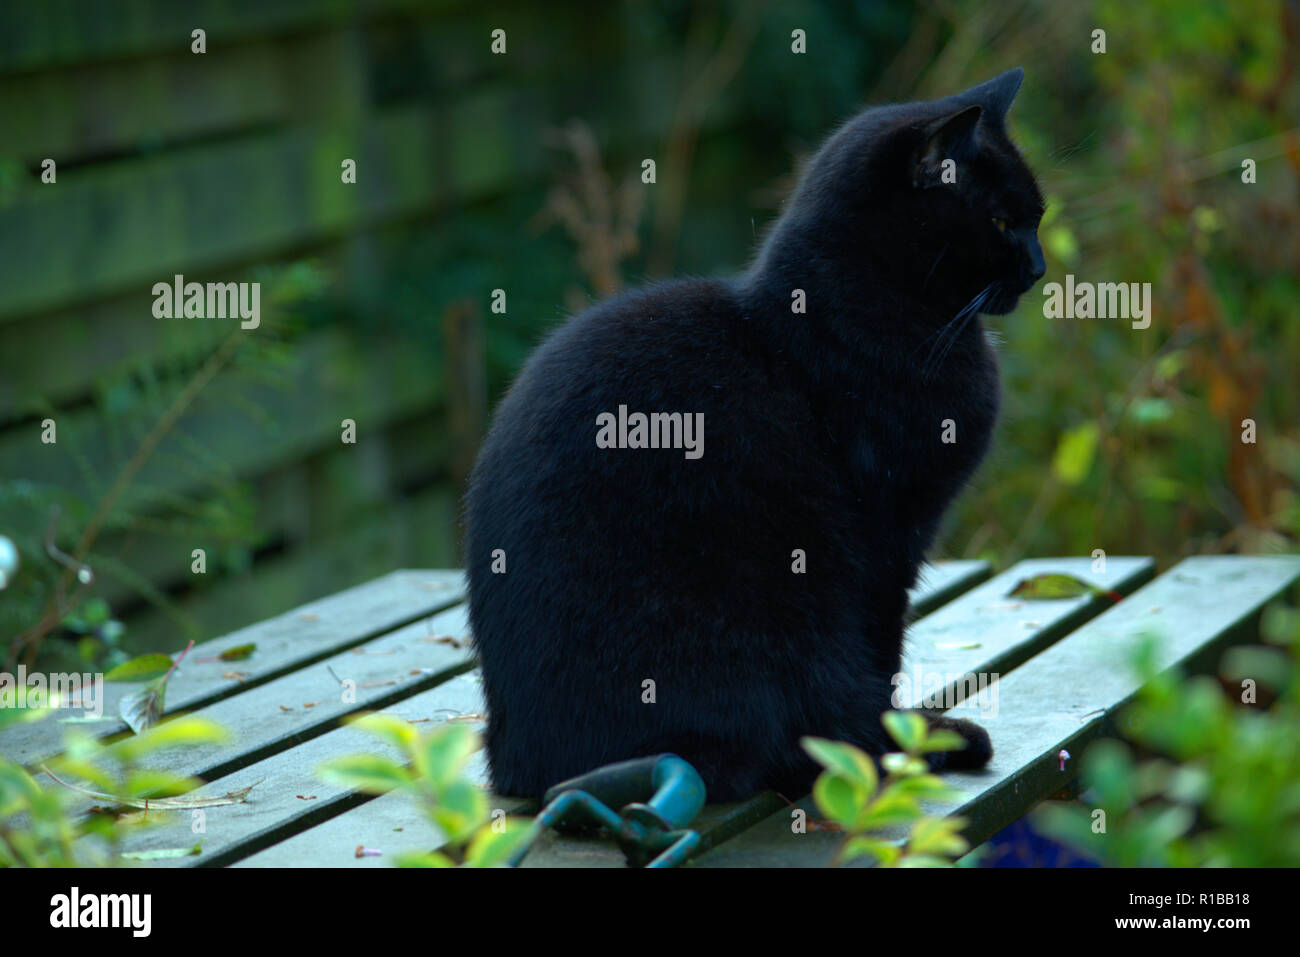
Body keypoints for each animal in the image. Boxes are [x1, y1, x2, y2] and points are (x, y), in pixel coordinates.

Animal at [467, 69, 1045, 800]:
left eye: (1038, 217)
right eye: (1000, 221)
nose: (1040, 265)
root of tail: (522, 765)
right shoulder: (887, 537)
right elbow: (880, 651)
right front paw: (896, 737)